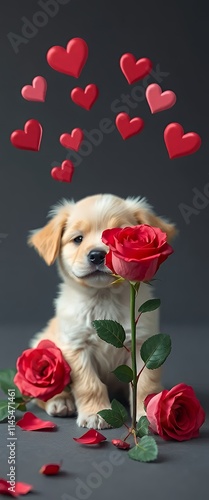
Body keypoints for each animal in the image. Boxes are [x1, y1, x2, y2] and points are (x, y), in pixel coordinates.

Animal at [28, 193, 176, 428]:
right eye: (78, 239)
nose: (97, 255)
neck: (104, 298)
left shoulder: (142, 344)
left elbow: (145, 384)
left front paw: (146, 412)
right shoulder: (76, 346)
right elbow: (90, 385)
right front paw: (96, 413)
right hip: (42, 345)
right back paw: (60, 402)